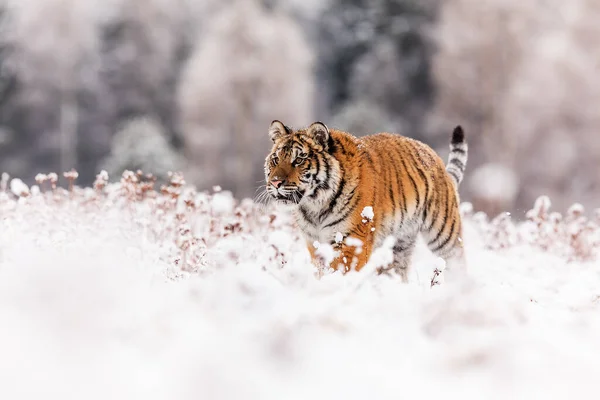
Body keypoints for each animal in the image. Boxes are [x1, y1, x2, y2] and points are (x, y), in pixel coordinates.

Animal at [264, 119, 468, 282]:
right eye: (275, 159)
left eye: (298, 160)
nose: (275, 182)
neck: (314, 205)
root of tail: (434, 156)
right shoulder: (314, 242)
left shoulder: (353, 239)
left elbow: (342, 269)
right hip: (400, 243)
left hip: (443, 233)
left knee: (458, 261)